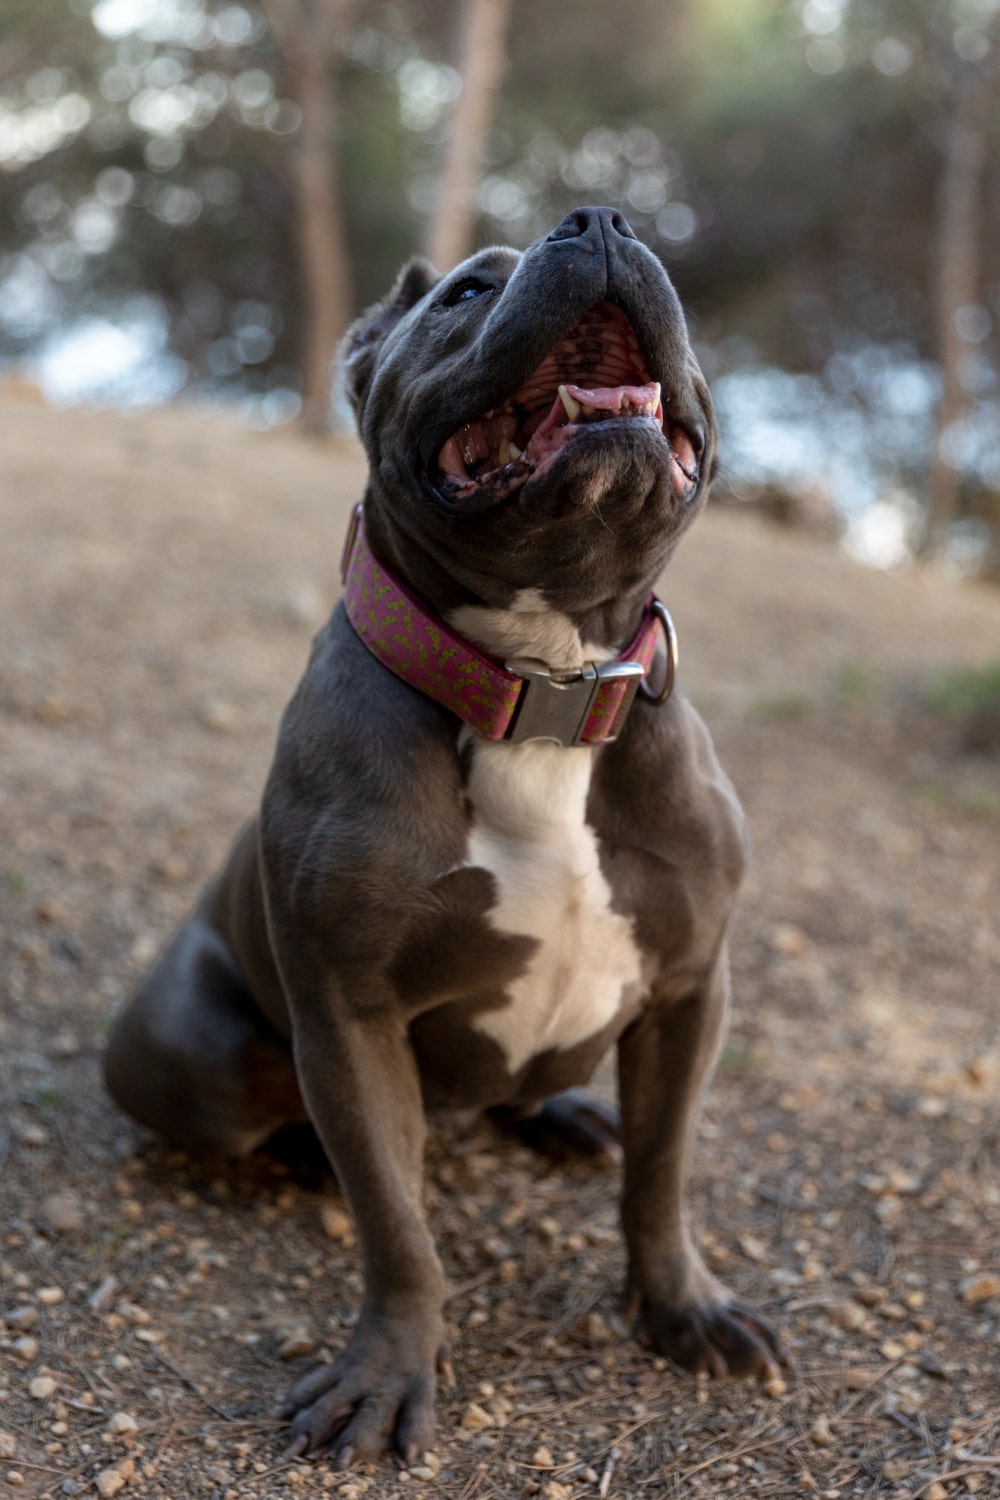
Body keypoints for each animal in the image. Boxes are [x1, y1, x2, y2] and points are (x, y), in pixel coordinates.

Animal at [105, 205, 785, 1458]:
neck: (546, 688)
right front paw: (386, 1372)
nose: (602, 217)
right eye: (466, 293)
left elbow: (660, 1178)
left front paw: (683, 1309)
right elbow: (396, 1226)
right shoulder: (351, 1019)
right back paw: (307, 1158)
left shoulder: (687, 990)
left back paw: (560, 1113)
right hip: (187, 1052)